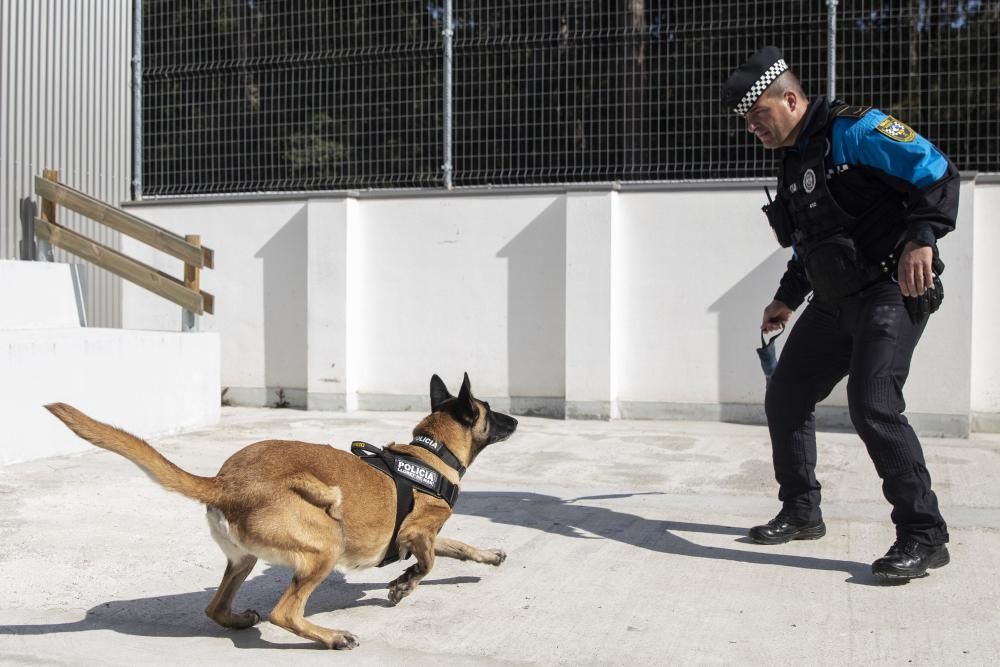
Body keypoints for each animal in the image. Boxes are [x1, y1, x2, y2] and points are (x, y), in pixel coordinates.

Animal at [44, 374, 520, 648]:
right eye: (490, 412)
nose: (516, 421)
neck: (431, 454)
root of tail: (225, 482)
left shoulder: (431, 534)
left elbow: (460, 547)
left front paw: (488, 557)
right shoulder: (417, 534)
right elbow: (429, 562)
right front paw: (402, 585)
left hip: (244, 559)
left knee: (215, 608)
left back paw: (237, 619)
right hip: (327, 541)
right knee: (284, 613)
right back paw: (331, 638)